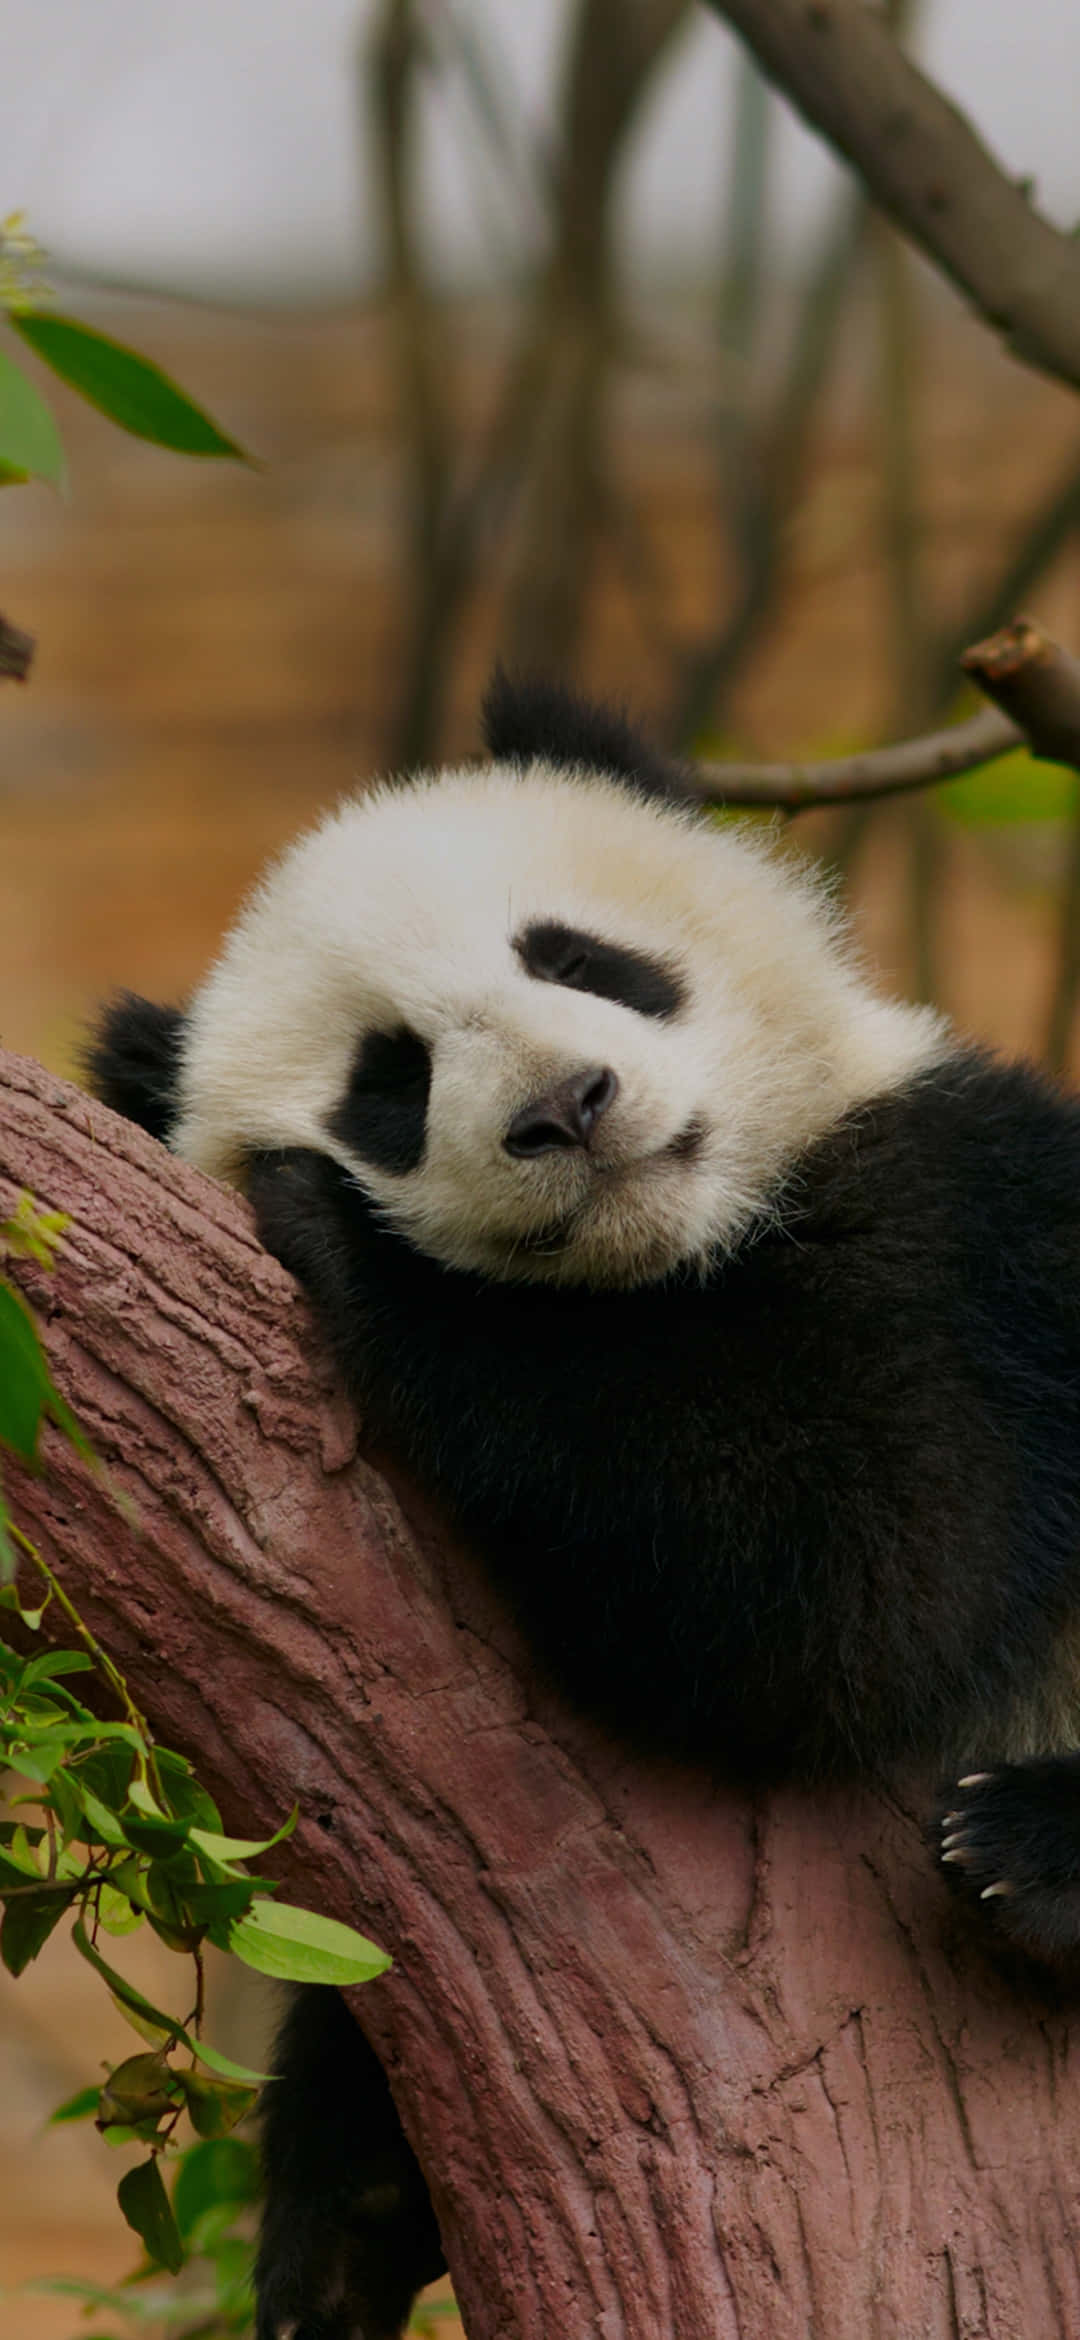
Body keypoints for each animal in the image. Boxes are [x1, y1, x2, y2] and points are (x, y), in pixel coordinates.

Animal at [89, 672, 1080, 2340]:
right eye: (391, 1082)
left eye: (575, 958)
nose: (568, 1104)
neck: (668, 1256)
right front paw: (339, 2215)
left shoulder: (957, 1225)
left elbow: (854, 1576)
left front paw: (338, 1233)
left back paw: (1028, 1851)